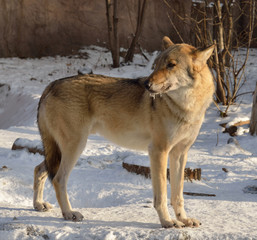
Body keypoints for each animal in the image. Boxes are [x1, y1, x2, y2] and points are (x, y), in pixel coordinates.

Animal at [34, 36, 214, 228]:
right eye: (157, 64)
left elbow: (178, 195)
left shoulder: (179, 153)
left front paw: (184, 219)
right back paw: (69, 213)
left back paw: (38, 204)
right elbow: (161, 196)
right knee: (58, 179)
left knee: (39, 169)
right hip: (75, 147)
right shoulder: (158, 151)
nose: (146, 85)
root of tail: (51, 85)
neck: (186, 106)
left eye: (171, 65)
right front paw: (167, 221)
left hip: (61, 151)